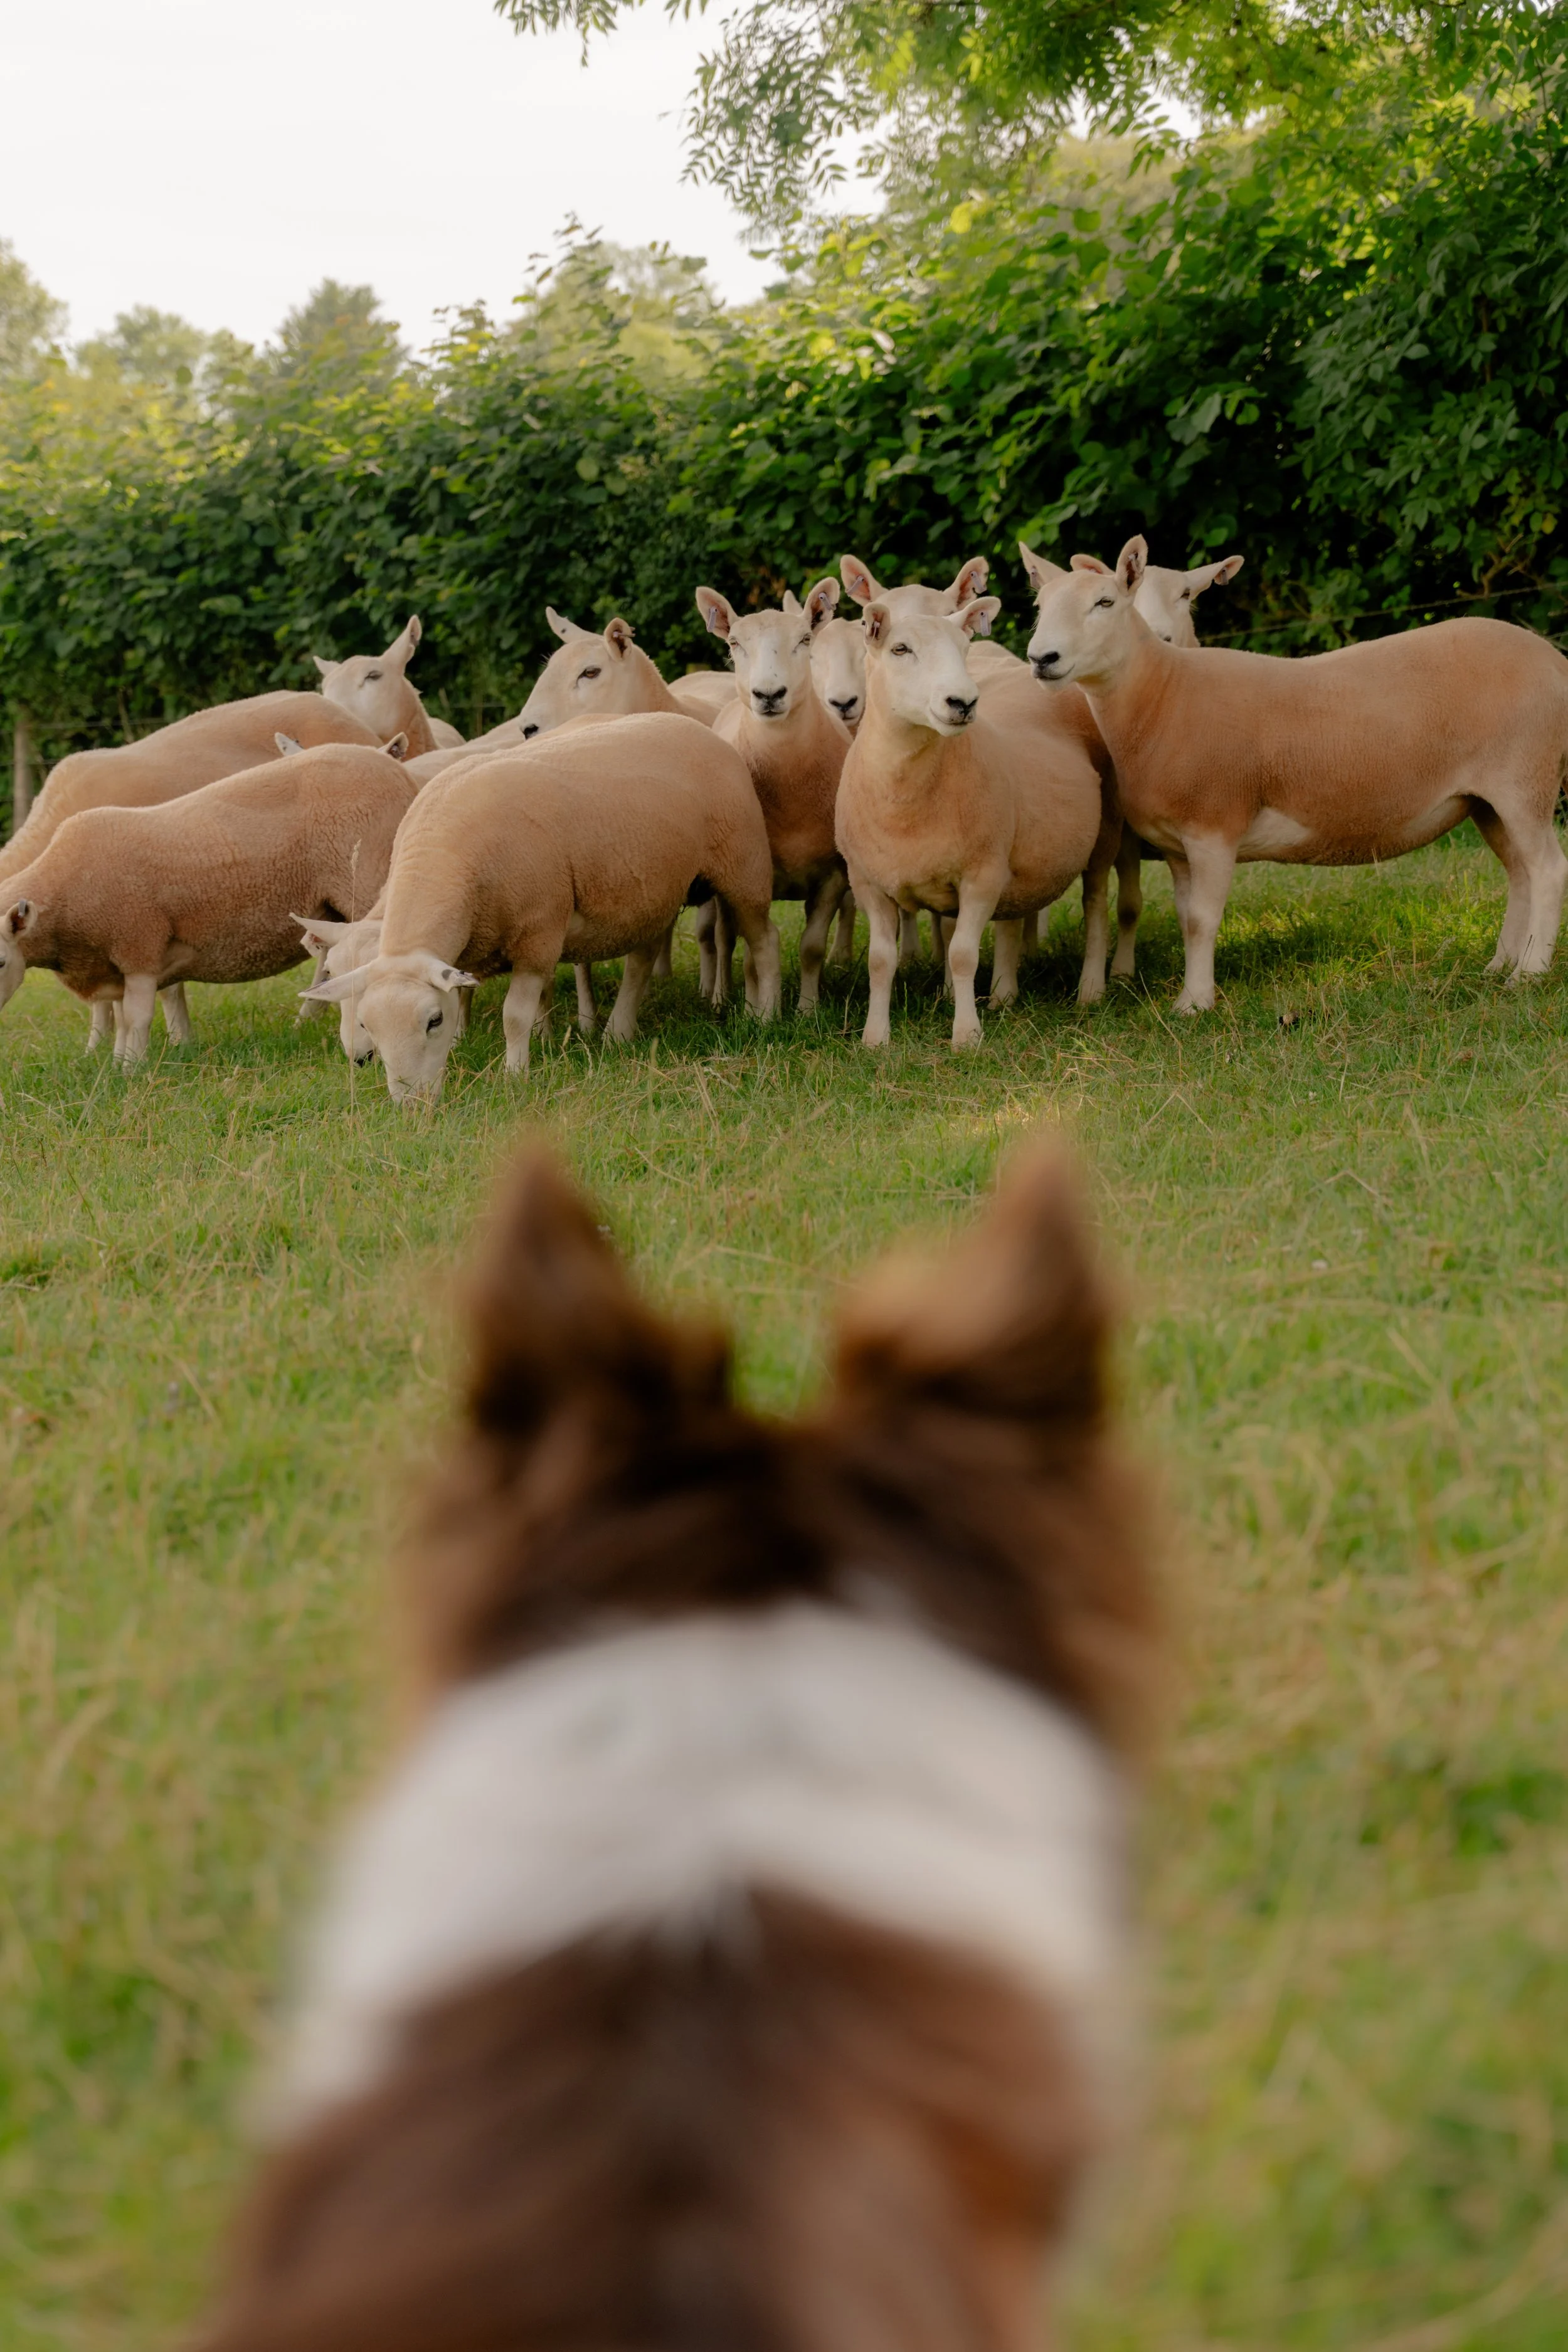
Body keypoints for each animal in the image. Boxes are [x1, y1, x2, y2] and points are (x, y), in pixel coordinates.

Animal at [0, 740, 417, 1064]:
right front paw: (116, 1063)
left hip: (369, 881)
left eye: (2, 961)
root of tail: (397, 772)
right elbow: (120, 1018)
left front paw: (132, 1070)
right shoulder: (112, 960)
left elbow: (136, 1018)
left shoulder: (139, 943)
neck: (64, 893)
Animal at [299, 714, 781, 1101]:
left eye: (432, 1021)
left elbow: (514, 1016)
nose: (412, 1104)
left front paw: (517, 1074)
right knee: (644, 958)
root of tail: (698, 727)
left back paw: (765, 1018)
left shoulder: (539, 931)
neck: (446, 858)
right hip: (650, 890)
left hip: (745, 866)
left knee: (764, 940)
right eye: (370, 1025)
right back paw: (619, 1033)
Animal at [693, 585, 852, 1013]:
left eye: (805, 640)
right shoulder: (751, 880)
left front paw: (808, 1010)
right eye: (734, 643)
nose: (768, 694)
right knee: (722, 939)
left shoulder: (833, 874)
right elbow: (750, 953)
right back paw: (720, 998)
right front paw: (754, 1010)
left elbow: (812, 947)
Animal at [836, 597, 1117, 1049]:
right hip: (1014, 857)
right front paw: (875, 1038)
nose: (963, 702)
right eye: (900, 649)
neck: (903, 797)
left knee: (1095, 906)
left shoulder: (981, 874)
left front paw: (966, 1035)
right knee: (1012, 919)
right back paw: (1004, 995)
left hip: (1104, 834)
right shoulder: (868, 882)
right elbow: (880, 962)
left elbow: (963, 954)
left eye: (964, 648)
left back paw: (1090, 990)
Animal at [1028, 534, 1568, 1010]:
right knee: (1520, 873)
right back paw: (1500, 965)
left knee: (1547, 870)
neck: (1163, 693)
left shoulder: (1214, 826)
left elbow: (1203, 919)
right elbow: (1186, 920)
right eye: (1039, 607)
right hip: (1487, 800)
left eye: (1105, 602)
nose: (1041, 659)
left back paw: (1529, 974)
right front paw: (1192, 991)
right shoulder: (1177, 843)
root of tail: (1553, 658)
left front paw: (1195, 1004)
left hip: (1525, 780)